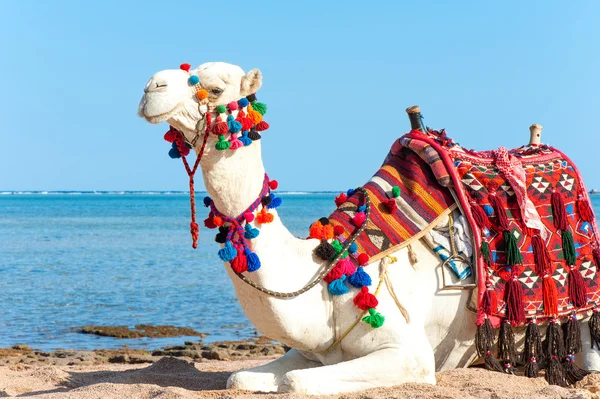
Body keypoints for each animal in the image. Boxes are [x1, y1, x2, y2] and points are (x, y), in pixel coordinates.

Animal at [137, 61, 600, 396]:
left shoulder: (409, 354)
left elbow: (296, 384)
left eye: (215, 88)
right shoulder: (314, 350)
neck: (329, 271)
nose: (150, 87)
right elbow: (242, 377)